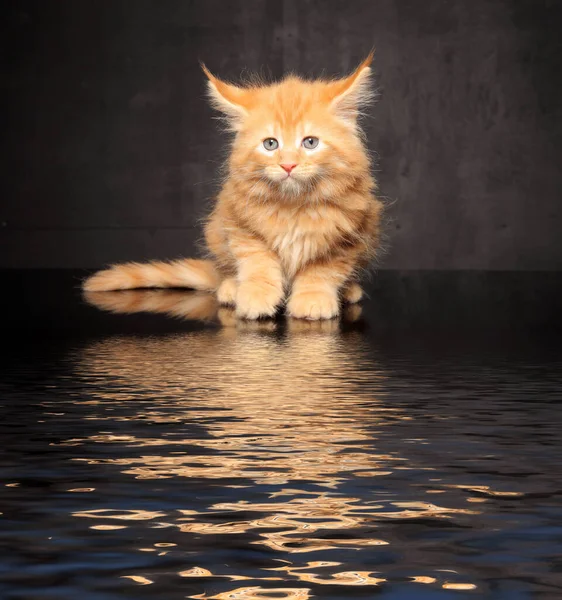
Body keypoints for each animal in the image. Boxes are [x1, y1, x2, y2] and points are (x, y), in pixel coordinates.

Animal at [83, 54, 380, 322]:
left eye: (310, 142)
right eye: (270, 144)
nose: (288, 165)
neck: (292, 206)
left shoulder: (348, 234)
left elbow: (321, 271)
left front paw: (313, 299)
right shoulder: (240, 225)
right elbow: (258, 264)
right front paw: (256, 297)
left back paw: (349, 291)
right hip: (216, 229)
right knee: (225, 271)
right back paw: (230, 288)